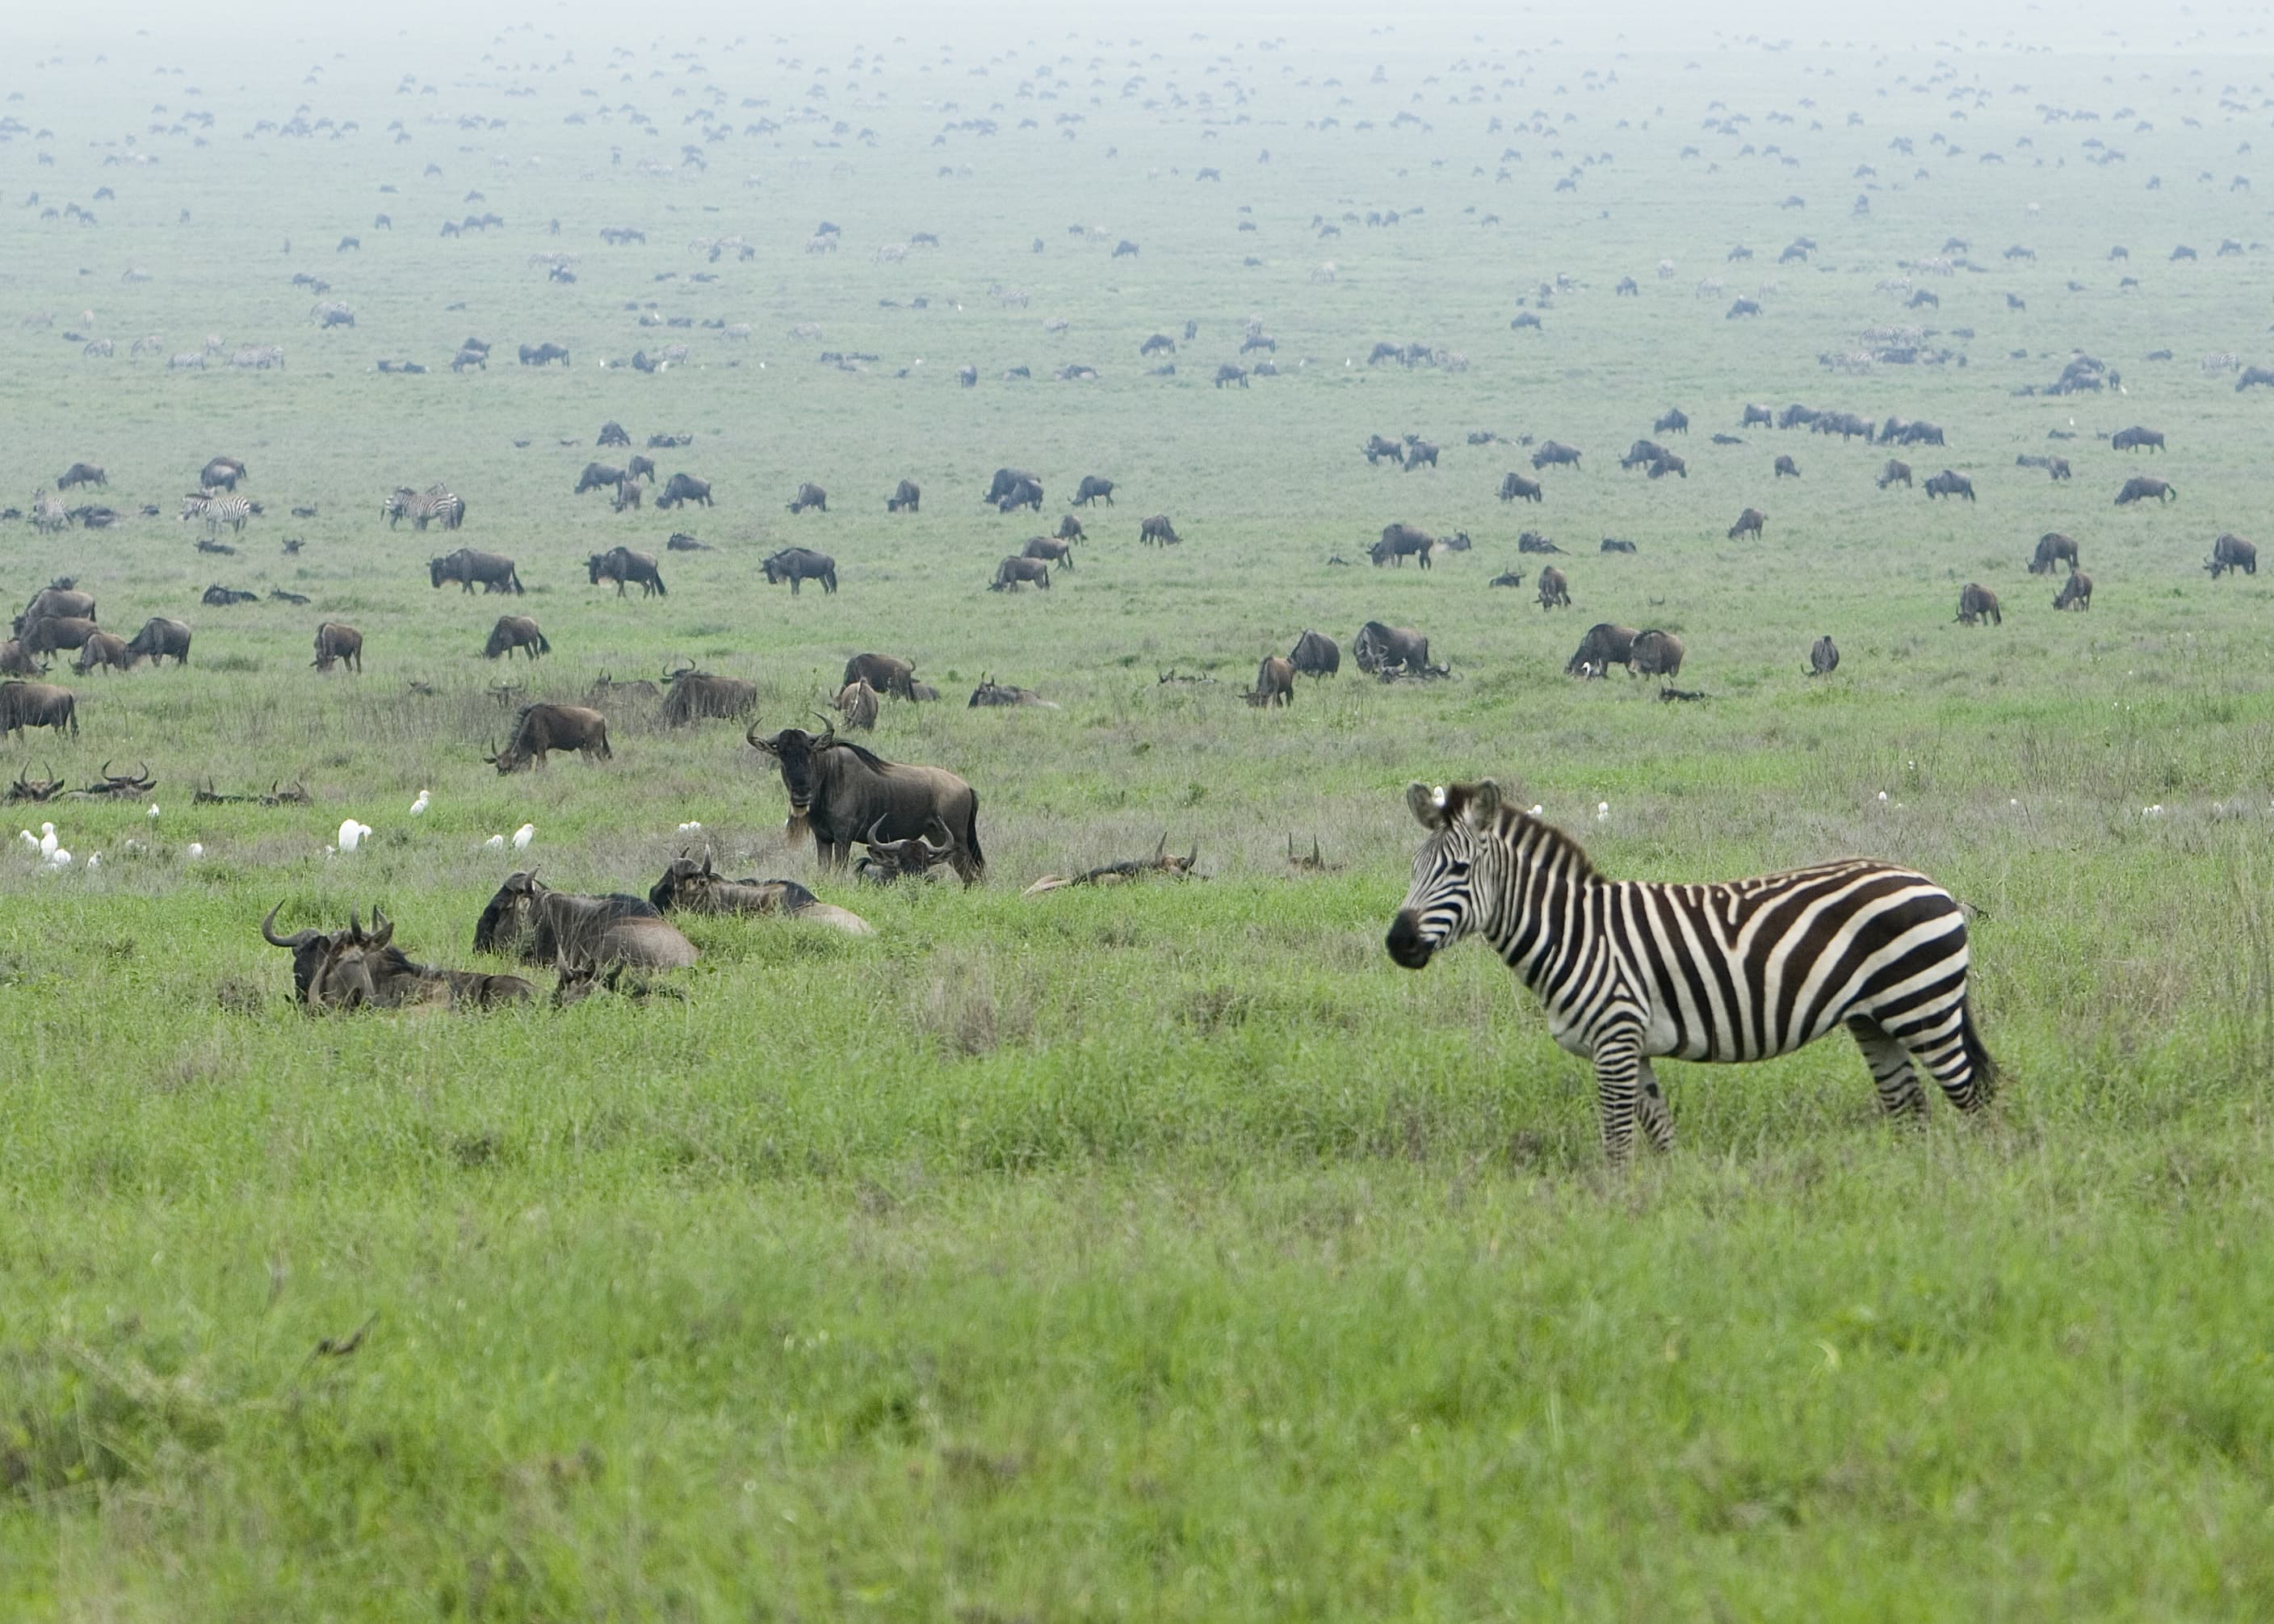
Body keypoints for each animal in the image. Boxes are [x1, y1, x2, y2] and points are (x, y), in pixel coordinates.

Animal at [1385, 779, 1996, 1161]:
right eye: (1414, 868)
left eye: (1460, 870)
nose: (1398, 943)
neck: (1575, 934)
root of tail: (1934, 885)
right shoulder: (1633, 1046)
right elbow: (1659, 1137)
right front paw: (1664, 1205)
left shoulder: (1615, 1038)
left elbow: (1616, 1144)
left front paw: (1614, 1211)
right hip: (1875, 1019)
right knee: (1911, 1109)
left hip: (1923, 1006)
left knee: (1975, 1101)